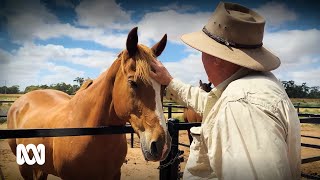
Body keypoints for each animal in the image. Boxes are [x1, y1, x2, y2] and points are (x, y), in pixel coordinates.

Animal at [6, 27, 171, 180]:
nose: (162, 145)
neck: (91, 132)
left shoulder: (113, 175)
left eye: (163, 86)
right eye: (132, 82)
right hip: (24, 166)